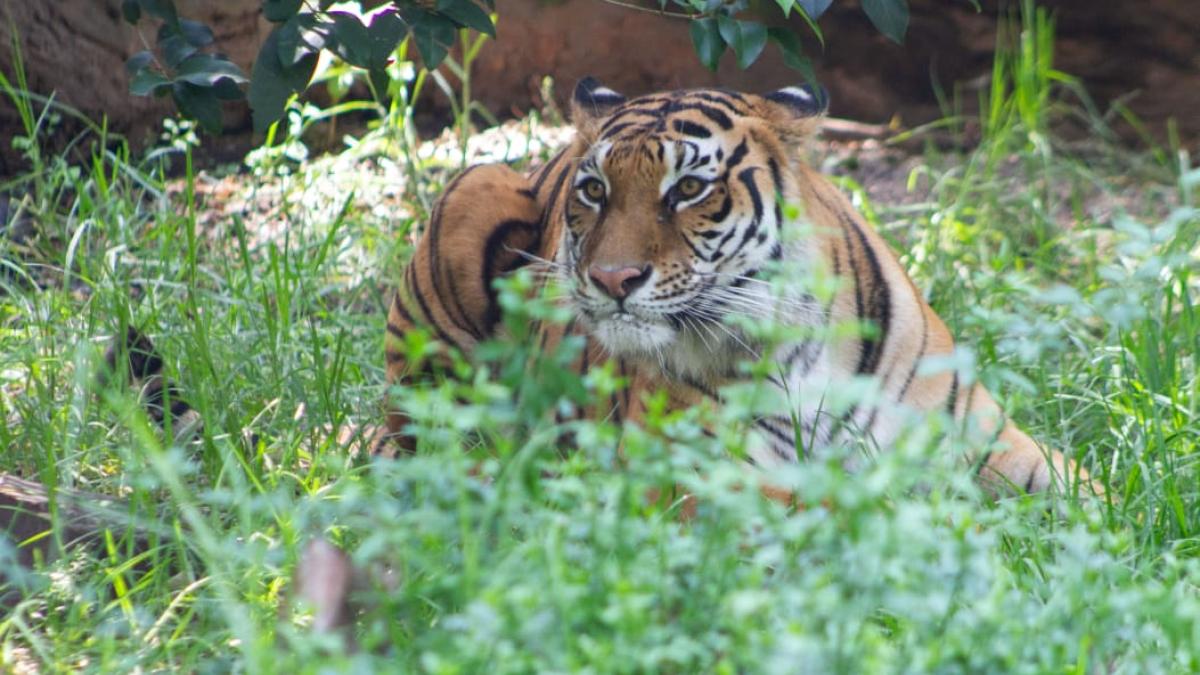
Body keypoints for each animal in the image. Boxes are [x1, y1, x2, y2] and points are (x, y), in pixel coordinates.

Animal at [384, 77, 1099, 494]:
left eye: (687, 189)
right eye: (595, 191)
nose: (613, 278)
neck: (802, 343)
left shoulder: (988, 440)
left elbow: (1091, 497)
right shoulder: (702, 476)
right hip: (470, 195)